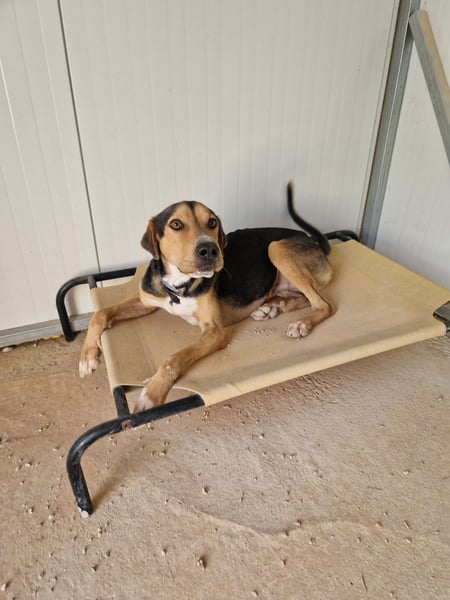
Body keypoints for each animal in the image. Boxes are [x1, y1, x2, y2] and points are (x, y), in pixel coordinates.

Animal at [79, 182, 334, 412]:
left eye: (212, 222)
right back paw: (271, 308)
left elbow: (172, 358)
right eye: (176, 224)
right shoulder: (146, 301)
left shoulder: (214, 331)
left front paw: (152, 391)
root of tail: (314, 242)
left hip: (277, 248)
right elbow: (101, 313)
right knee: (303, 297)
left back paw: (302, 323)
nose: (210, 250)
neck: (178, 286)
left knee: (323, 304)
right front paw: (88, 357)